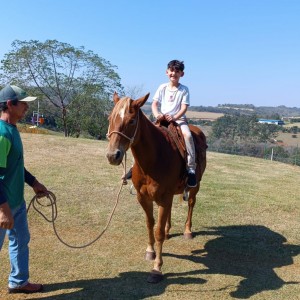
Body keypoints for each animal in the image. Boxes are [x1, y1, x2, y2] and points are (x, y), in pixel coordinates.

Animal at [105, 92, 206, 282]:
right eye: (110, 118)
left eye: (131, 121)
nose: (112, 155)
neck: (153, 158)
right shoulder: (143, 197)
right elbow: (149, 224)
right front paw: (150, 251)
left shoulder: (163, 198)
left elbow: (157, 230)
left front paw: (157, 268)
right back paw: (168, 231)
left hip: (195, 186)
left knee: (191, 204)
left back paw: (187, 231)